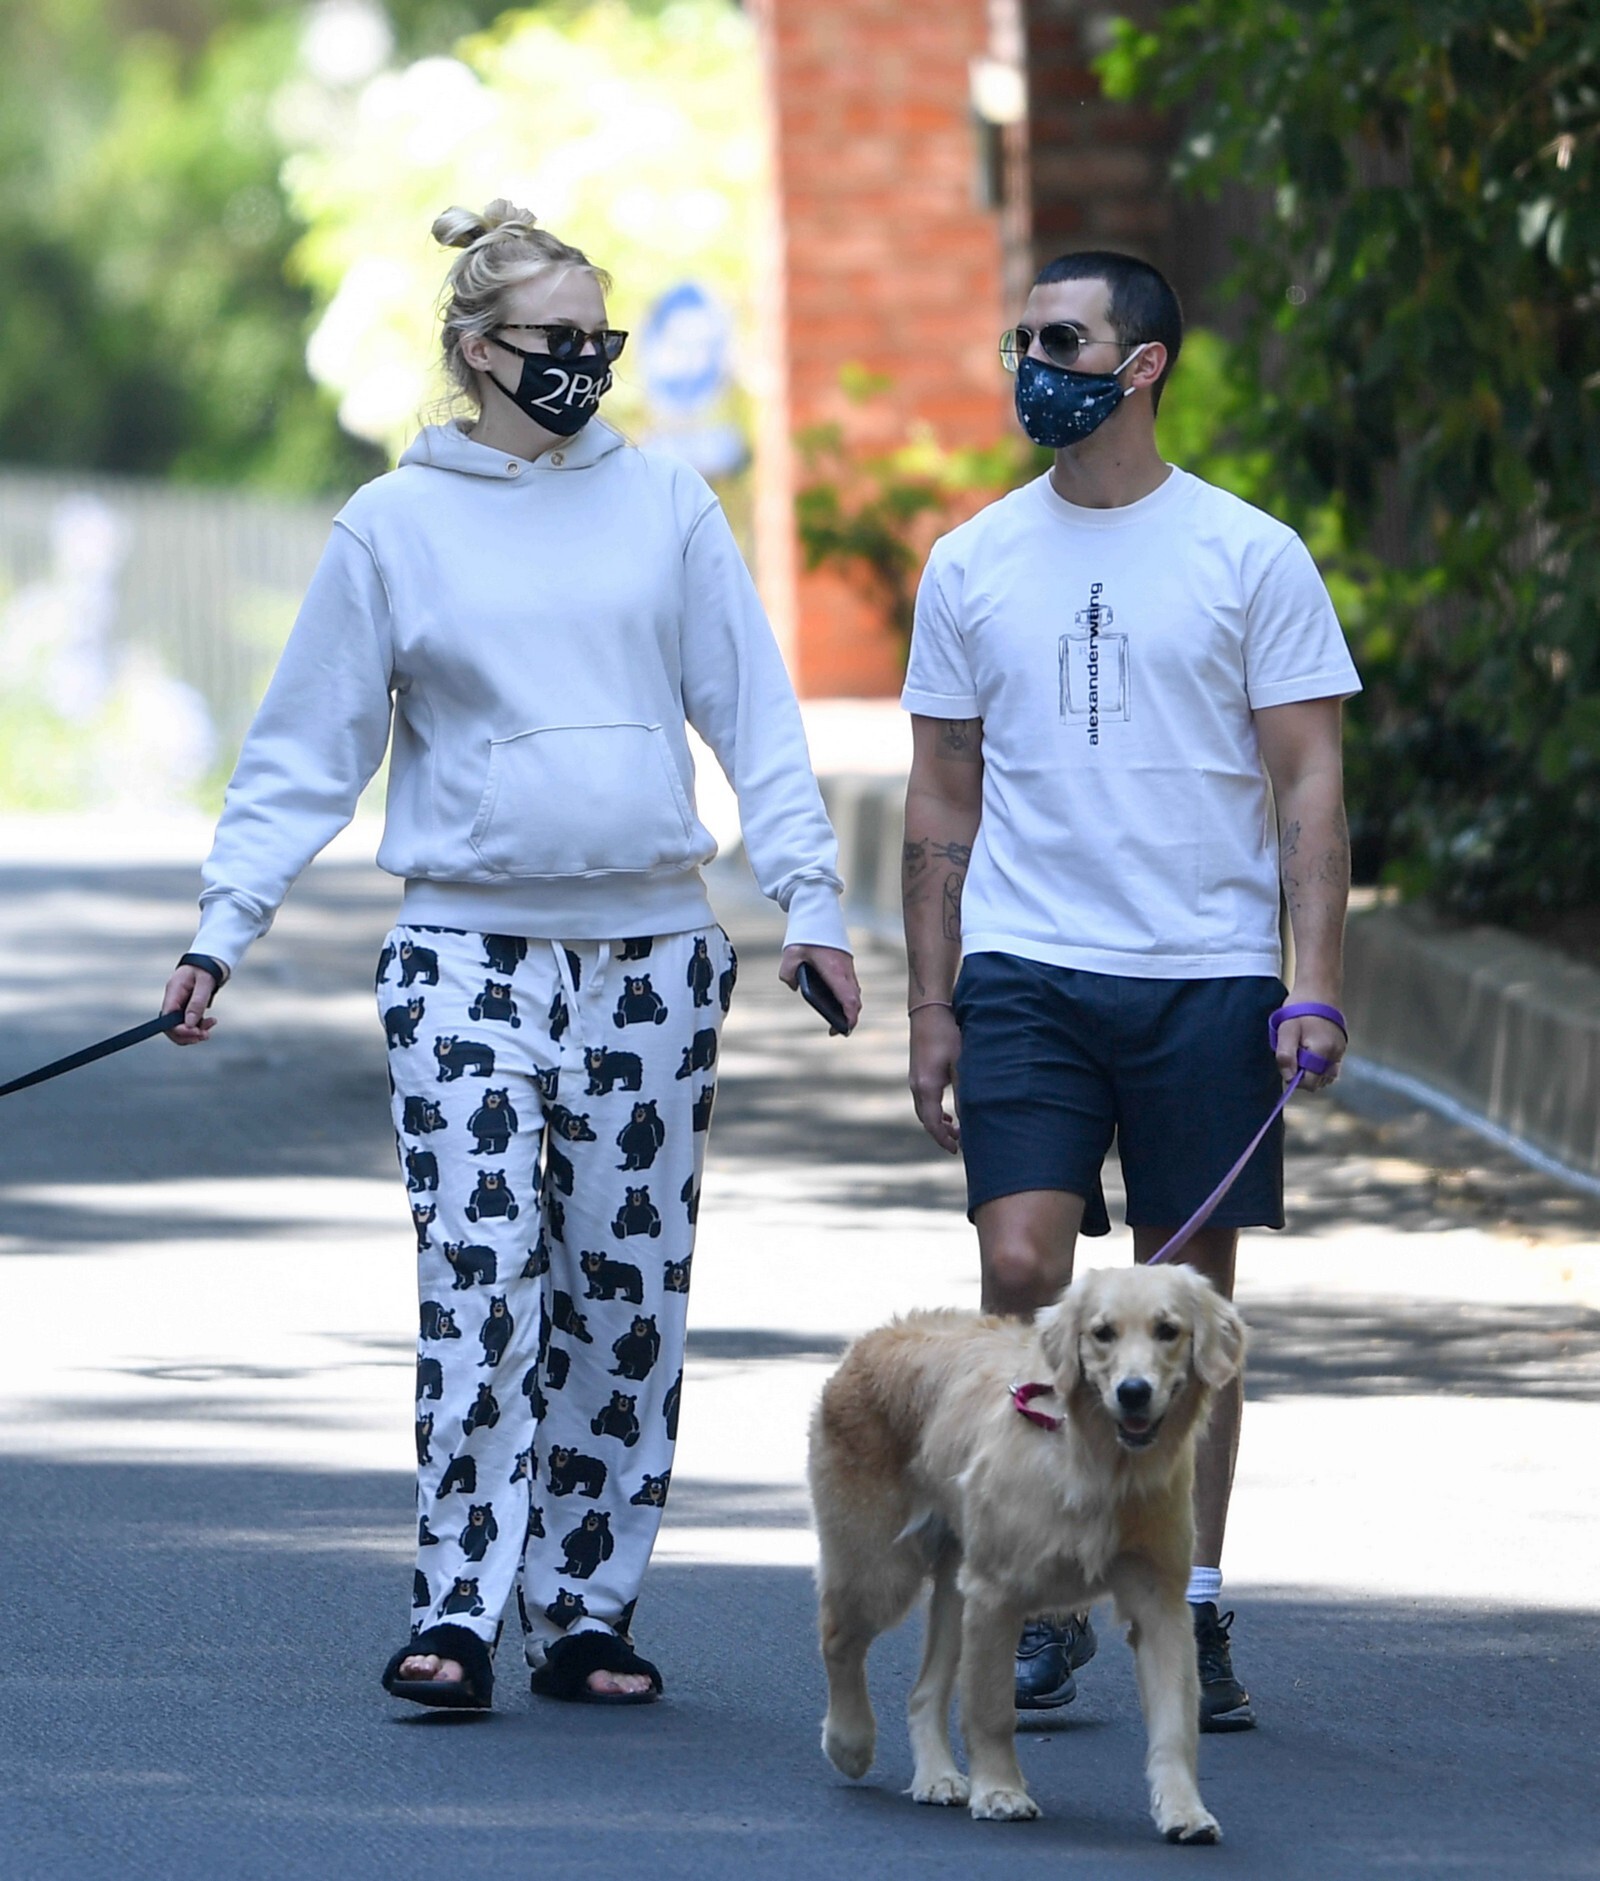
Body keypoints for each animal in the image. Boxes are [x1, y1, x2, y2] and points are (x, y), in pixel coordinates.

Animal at [807, 1262, 1245, 1838]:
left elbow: (1175, 1726)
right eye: (1102, 1333)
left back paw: (937, 1777)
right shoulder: (997, 1594)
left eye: (1167, 1330)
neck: (1098, 1466)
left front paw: (1184, 1811)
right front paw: (1000, 1792)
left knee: (923, 1693)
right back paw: (850, 1743)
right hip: (881, 1570)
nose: (1133, 1392)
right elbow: (992, 1710)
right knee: (838, 1639)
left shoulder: (1162, 1602)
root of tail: (869, 1340)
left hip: (954, 1589)